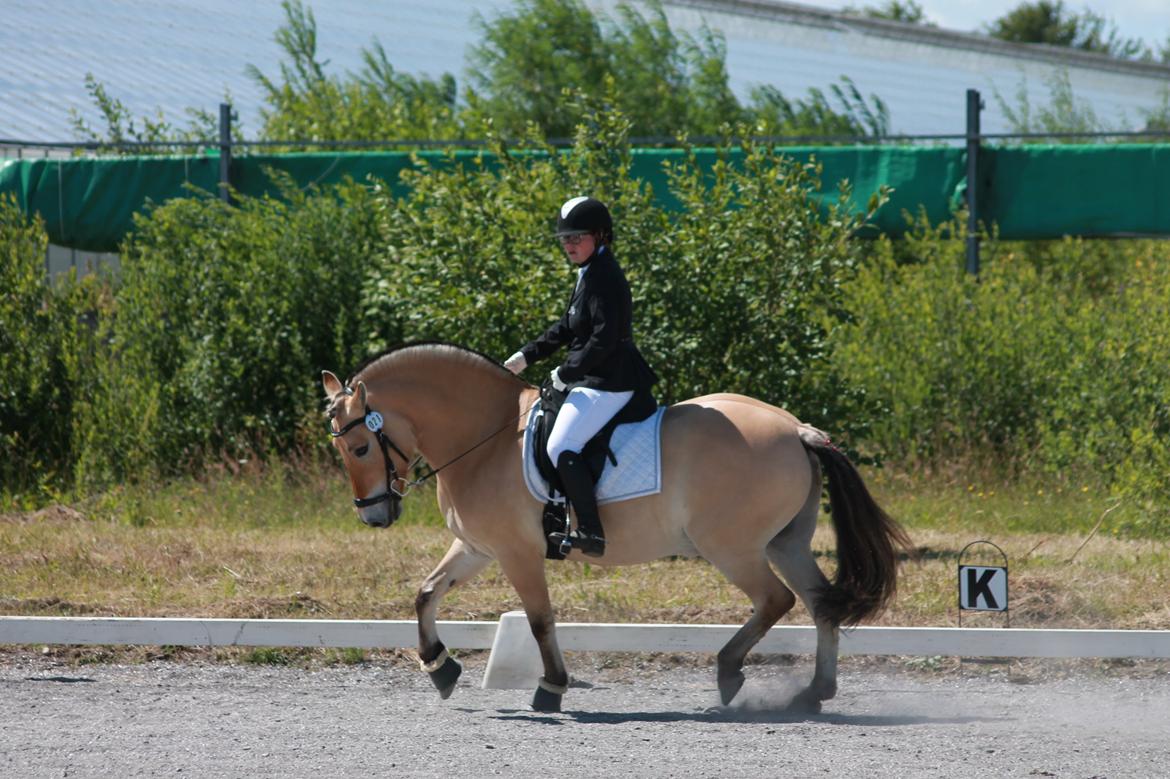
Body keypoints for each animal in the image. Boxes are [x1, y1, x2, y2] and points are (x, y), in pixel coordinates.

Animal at [322, 339, 912, 711]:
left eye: (360, 447)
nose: (374, 515)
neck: (488, 436)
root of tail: (797, 430)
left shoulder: (516, 553)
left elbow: (540, 620)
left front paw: (551, 688)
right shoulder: (476, 547)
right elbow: (426, 593)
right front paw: (440, 668)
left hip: (733, 547)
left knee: (776, 600)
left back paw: (729, 672)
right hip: (785, 543)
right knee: (819, 603)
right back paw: (813, 694)